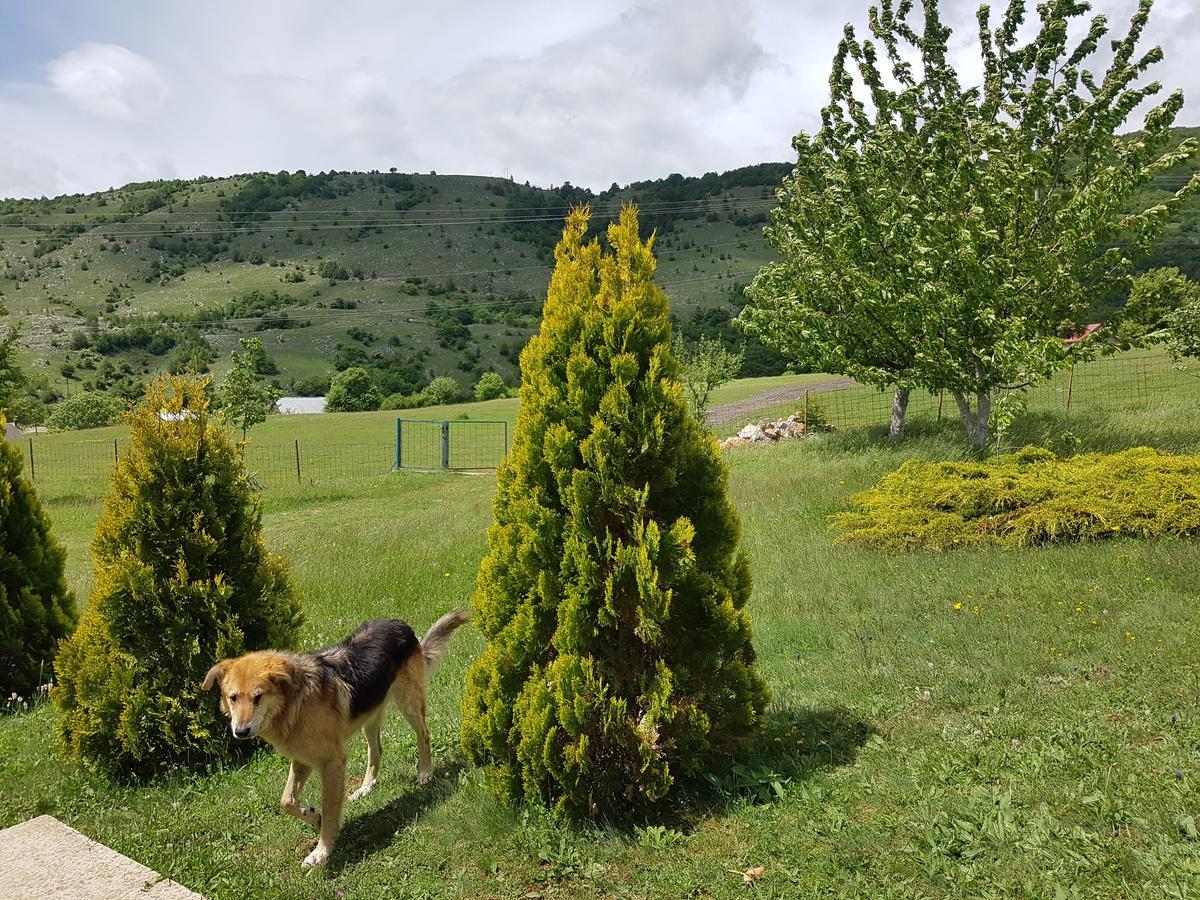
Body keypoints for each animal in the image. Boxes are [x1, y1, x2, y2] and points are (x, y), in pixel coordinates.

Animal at [204, 609, 470, 868]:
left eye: (258, 697)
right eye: (233, 697)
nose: (240, 731)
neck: (294, 704)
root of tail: (399, 623)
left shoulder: (332, 762)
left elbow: (329, 808)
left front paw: (321, 851)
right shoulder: (303, 760)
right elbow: (286, 801)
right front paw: (313, 817)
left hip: (409, 704)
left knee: (424, 734)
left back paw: (425, 772)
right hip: (369, 718)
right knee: (377, 751)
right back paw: (365, 788)